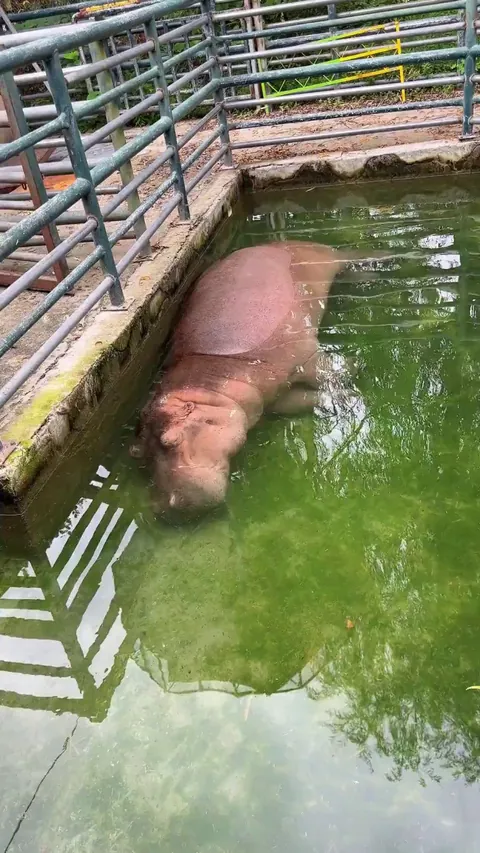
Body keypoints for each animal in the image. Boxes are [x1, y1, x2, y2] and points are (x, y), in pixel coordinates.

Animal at [132, 241, 352, 517]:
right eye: (137, 453)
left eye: (171, 440)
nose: (162, 507)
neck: (212, 387)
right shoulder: (270, 401)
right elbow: (301, 400)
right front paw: (336, 399)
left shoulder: (306, 357)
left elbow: (327, 372)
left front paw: (351, 376)